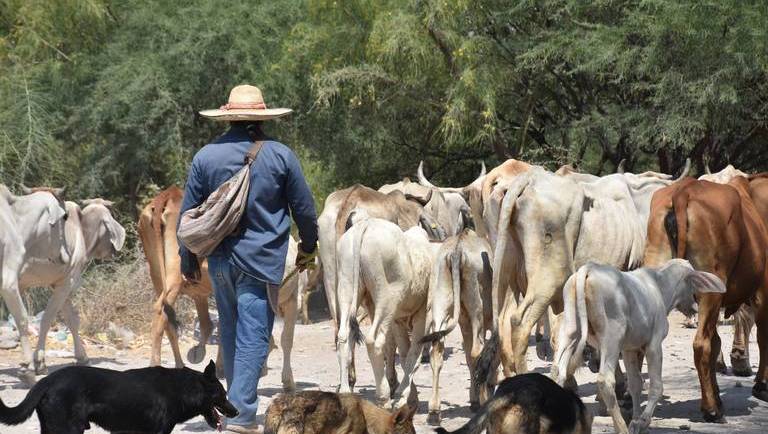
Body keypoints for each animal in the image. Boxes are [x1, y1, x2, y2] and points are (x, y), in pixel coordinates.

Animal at [334, 214, 438, 406]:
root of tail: (365, 225)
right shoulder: (423, 315)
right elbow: (413, 355)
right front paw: (403, 395)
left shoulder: (397, 320)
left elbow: (402, 353)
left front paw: (408, 393)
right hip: (387, 299)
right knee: (373, 341)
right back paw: (383, 397)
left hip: (347, 288)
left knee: (344, 336)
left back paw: (345, 392)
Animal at [552, 260, 728, 432]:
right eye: (692, 283)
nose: (695, 306)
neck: (660, 286)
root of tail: (589, 269)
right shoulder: (654, 345)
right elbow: (656, 386)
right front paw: (643, 421)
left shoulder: (629, 348)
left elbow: (635, 383)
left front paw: (635, 420)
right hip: (612, 336)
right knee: (605, 380)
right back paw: (621, 428)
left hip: (571, 332)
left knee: (558, 372)